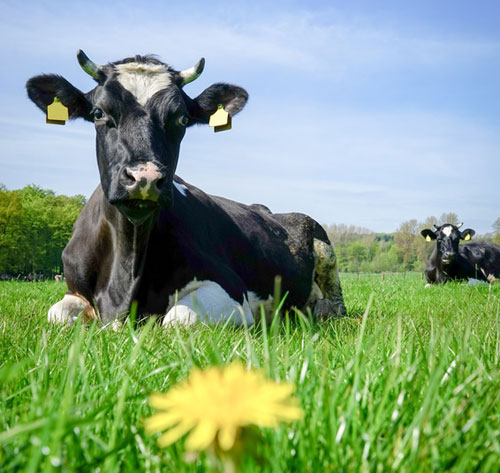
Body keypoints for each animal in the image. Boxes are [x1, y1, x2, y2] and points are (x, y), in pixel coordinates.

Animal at [25, 49, 346, 326]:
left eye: (181, 118)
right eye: (98, 113)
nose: (145, 177)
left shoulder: (233, 291)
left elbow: (178, 318)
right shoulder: (74, 288)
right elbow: (56, 314)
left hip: (322, 244)